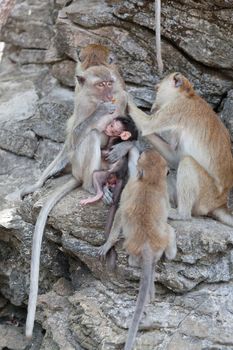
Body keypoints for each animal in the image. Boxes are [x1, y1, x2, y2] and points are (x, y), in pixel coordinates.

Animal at [24, 65, 126, 336]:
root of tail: (79, 176)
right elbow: (73, 140)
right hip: (82, 168)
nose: (110, 92)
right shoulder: (80, 106)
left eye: (110, 82)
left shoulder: (122, 102)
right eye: (101, 84)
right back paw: (94, 187)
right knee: (89, 137)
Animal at [98, 150, 177, 350]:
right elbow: (121, 211)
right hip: (160, 240)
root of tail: (147, 245)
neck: (150, 181)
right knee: (169, 230)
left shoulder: (134, 185)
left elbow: (120, 211)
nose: (145, 151)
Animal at [127, 73, 233, 227]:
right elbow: (173, 156)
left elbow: (147, 125)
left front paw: (123, 95)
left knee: (187, 162)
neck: (186, 95)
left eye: (157, 89)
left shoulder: (176, 109)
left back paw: (182, 215)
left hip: (206, 196)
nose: (153, 105)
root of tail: (221, 202)